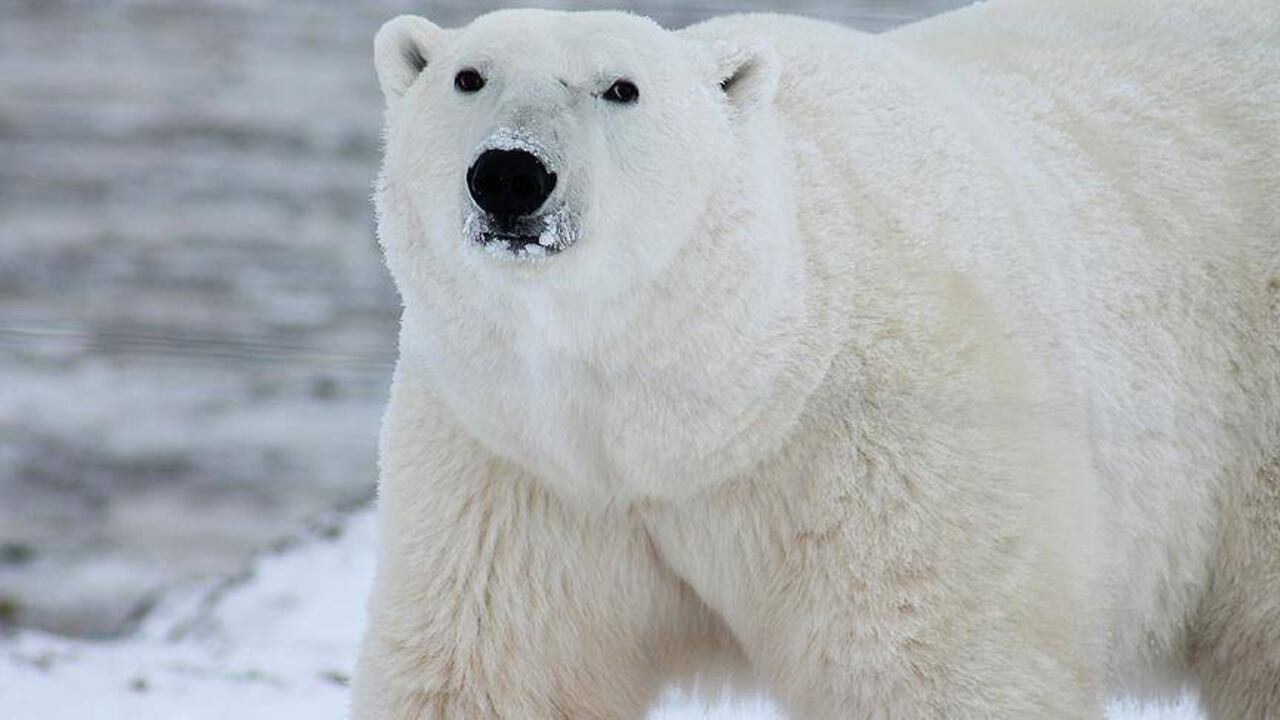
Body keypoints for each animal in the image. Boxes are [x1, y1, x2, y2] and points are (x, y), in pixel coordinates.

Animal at [352, 3, 1280, 718]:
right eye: (469, 77)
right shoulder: (519, 467)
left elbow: (934, 666)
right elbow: (491, 669)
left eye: (621, 88)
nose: (510, 174)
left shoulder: (890, 449)